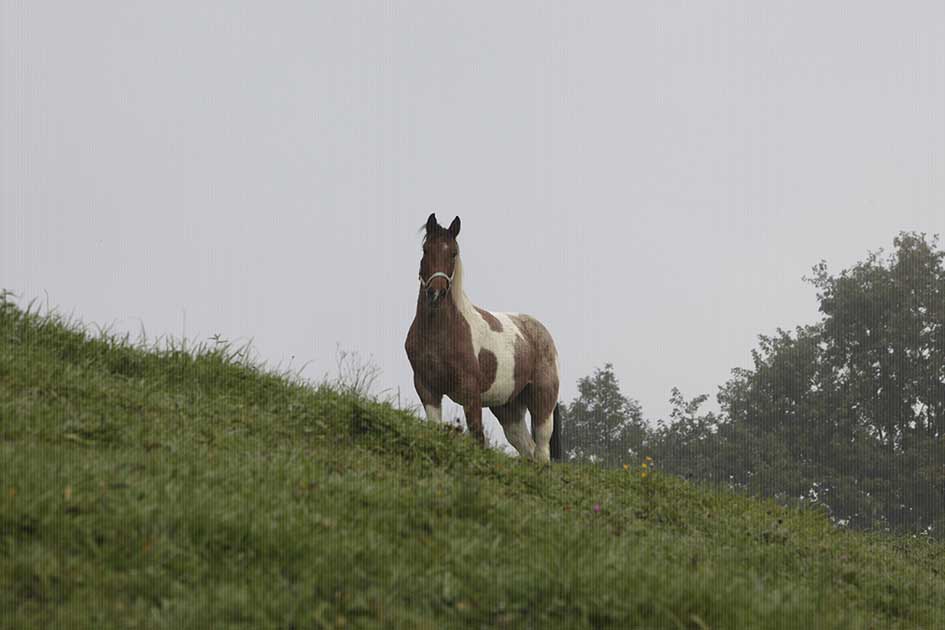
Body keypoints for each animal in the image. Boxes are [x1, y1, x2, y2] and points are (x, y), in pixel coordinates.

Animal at [404, 214, 560, 464]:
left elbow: (477, 436)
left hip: (542, 401)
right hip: (508, 409)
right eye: (426, 249)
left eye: (453, 253)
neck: (441, 333)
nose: (436, 293)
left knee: (542, 452)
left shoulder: (471, 392)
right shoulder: (426, 387)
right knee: (527, 448)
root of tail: (541, 333)